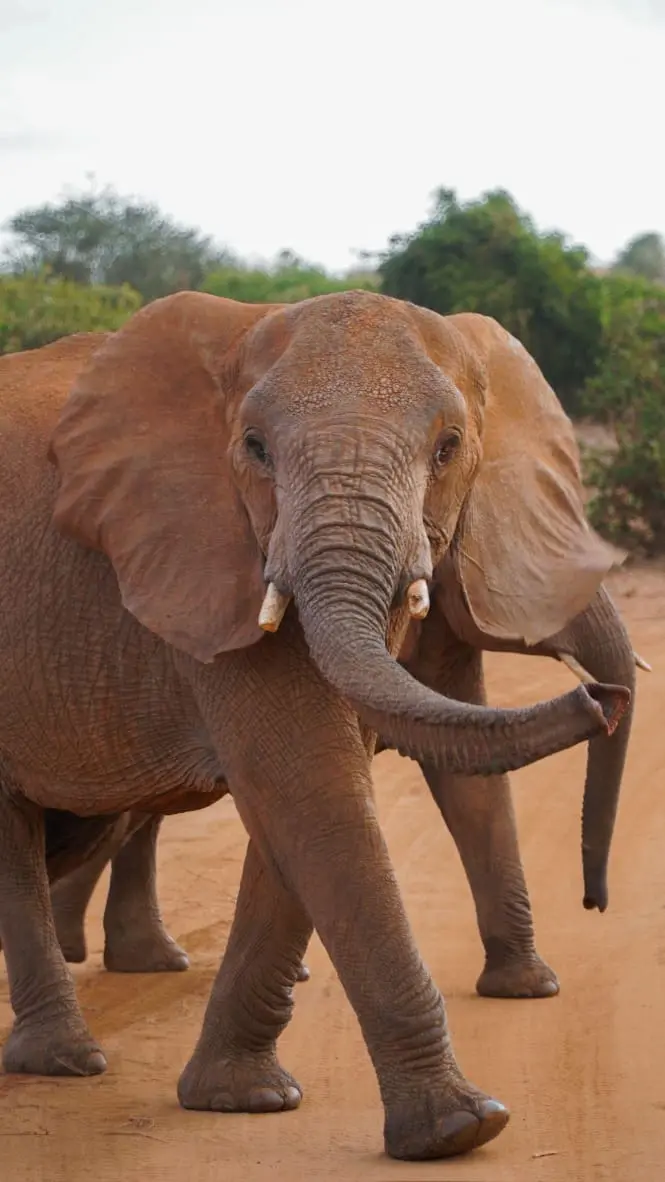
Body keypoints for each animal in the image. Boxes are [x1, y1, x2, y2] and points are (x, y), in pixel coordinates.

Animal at [0, 290, 630, 1163]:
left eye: (448, 447)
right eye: (255, 448)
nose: (600, 698)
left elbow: (314, 802)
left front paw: (241, 1100)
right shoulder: (204, 551)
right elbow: (308, 787)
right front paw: (460, 1129)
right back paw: (65, 1060)